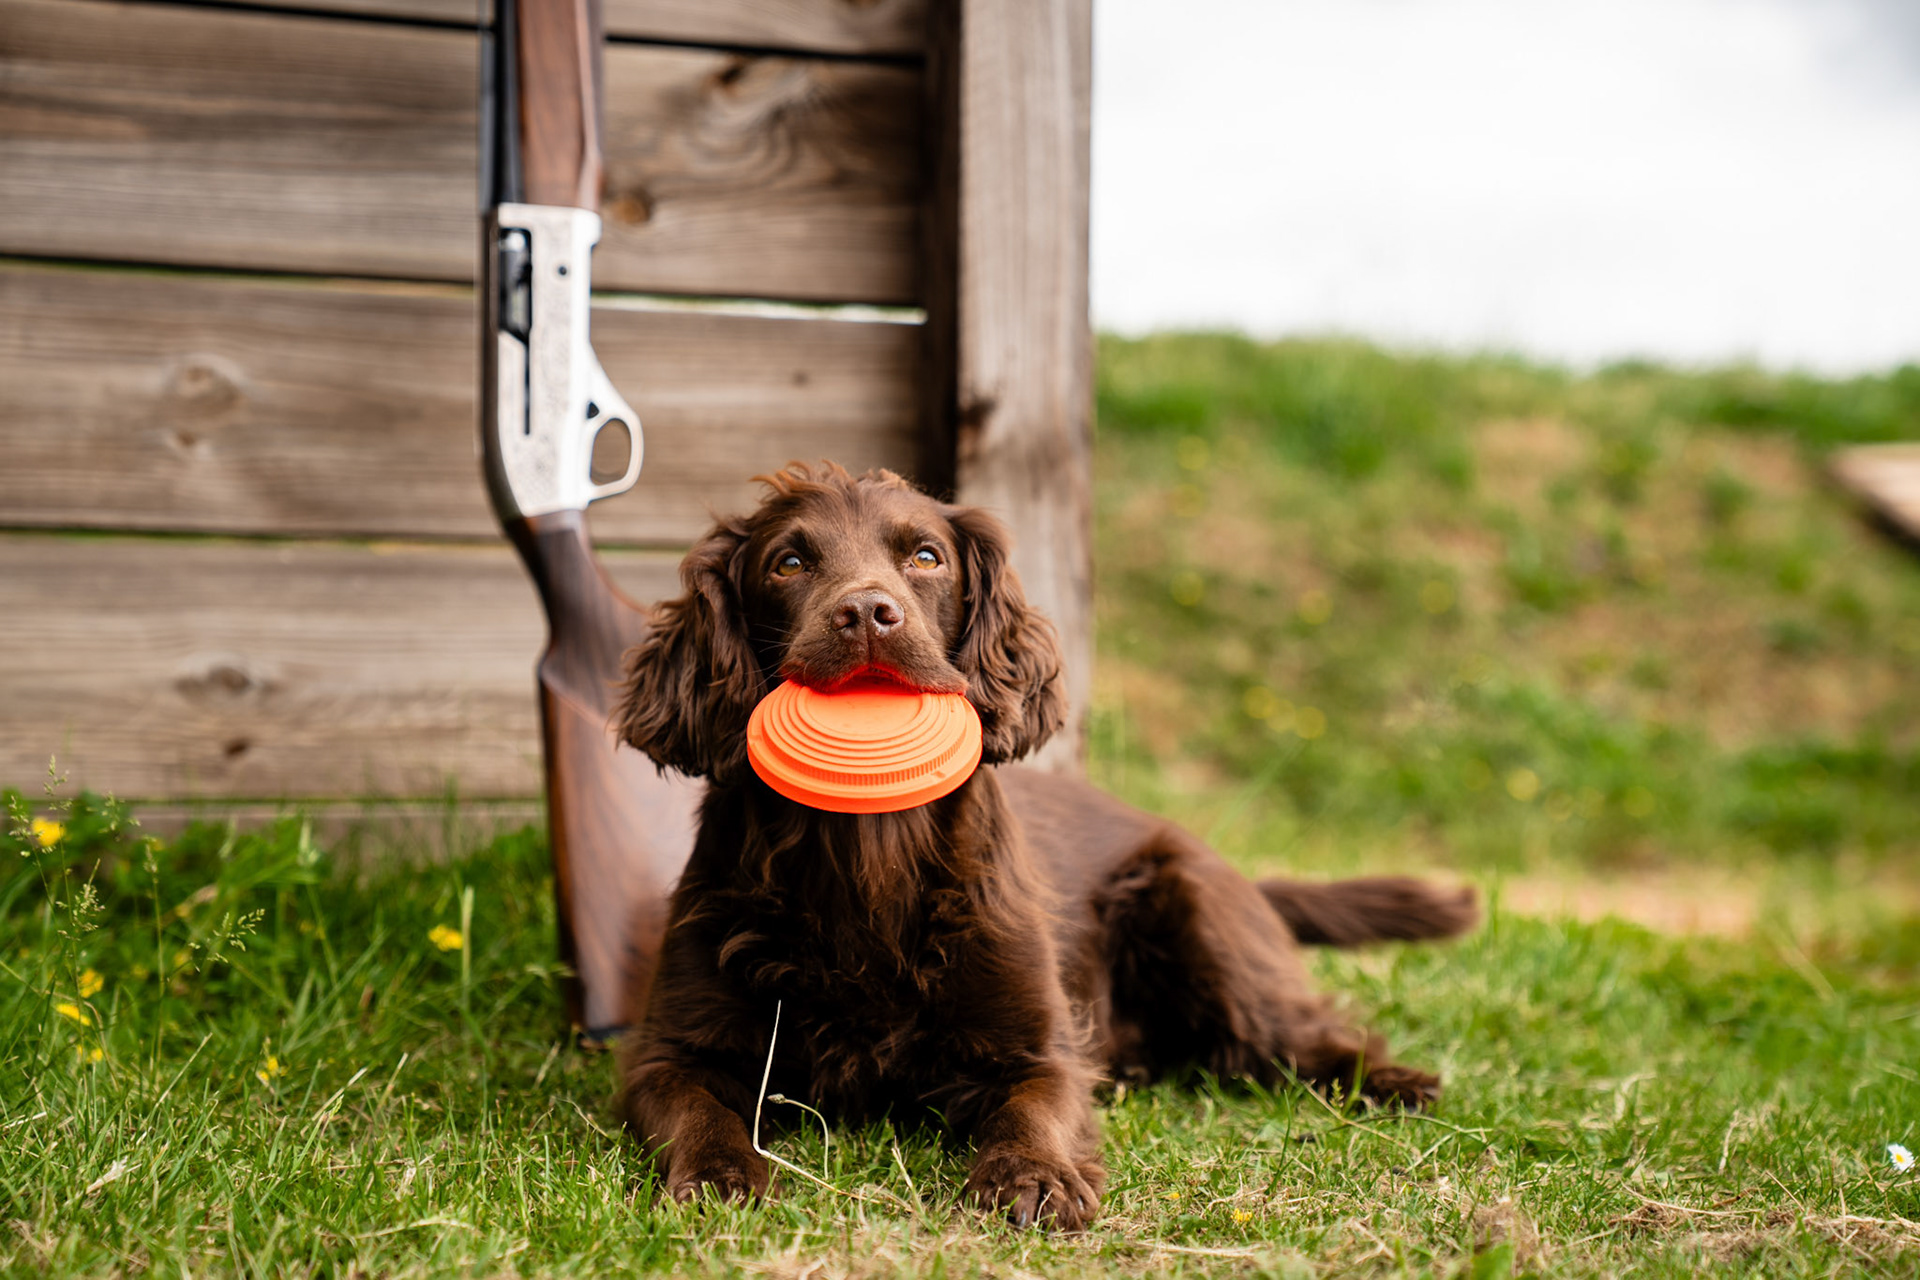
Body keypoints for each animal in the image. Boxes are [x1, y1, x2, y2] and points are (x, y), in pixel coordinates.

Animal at [615, 462, 1476, 1230]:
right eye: (789, 563)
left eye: (924, 557)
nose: (866, 613)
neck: (867, 855)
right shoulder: (671, 1053)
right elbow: (700, 1112)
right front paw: (720, 1179)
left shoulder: (1040, 1051)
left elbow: (1032, 1112)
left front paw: (1032, 1180)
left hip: (1196, 912)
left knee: (1295, 1035)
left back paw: (1394, 1081)